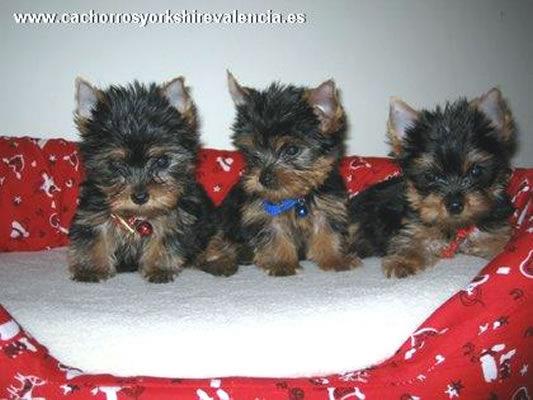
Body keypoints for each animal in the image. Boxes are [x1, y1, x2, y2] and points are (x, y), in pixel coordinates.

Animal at [68, 76, 214, 282]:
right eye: (116, 164)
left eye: (162, 161)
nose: (140, 197)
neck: (137, 214)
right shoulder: (92, 211)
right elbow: (93, 235)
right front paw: (90, 268)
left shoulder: (176, 216)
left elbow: (165, 237)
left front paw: (159, 268)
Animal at [202, 72, 360, 276]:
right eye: (252, 153)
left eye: (291, 150)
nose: (263, 178)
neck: (297, 196)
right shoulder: (260, 212)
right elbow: (274, 233)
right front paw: (281, 263)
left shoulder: (328, 206)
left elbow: (327, 231)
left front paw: (335, 259)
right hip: (227, 219)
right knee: (219, 241)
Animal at [350, 87, 516, 276]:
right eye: (430, 176)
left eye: (476, 171)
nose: (455, 205)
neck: (456, 226)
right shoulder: (414, 225)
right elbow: (412, 240)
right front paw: (403, 261)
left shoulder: (495, 228)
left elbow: (499, 243)